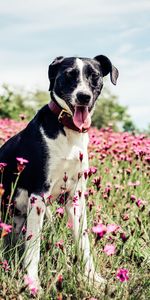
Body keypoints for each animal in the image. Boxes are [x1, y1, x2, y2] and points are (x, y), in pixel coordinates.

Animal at [0, 54, 119, 290]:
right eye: (69, 75)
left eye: (95, 76)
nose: (83, 96)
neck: (69, 131)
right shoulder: (38, 195)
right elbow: (34, 247)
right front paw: (32, 283)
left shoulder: (75, 197)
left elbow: (84, 242)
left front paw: (92, 277)